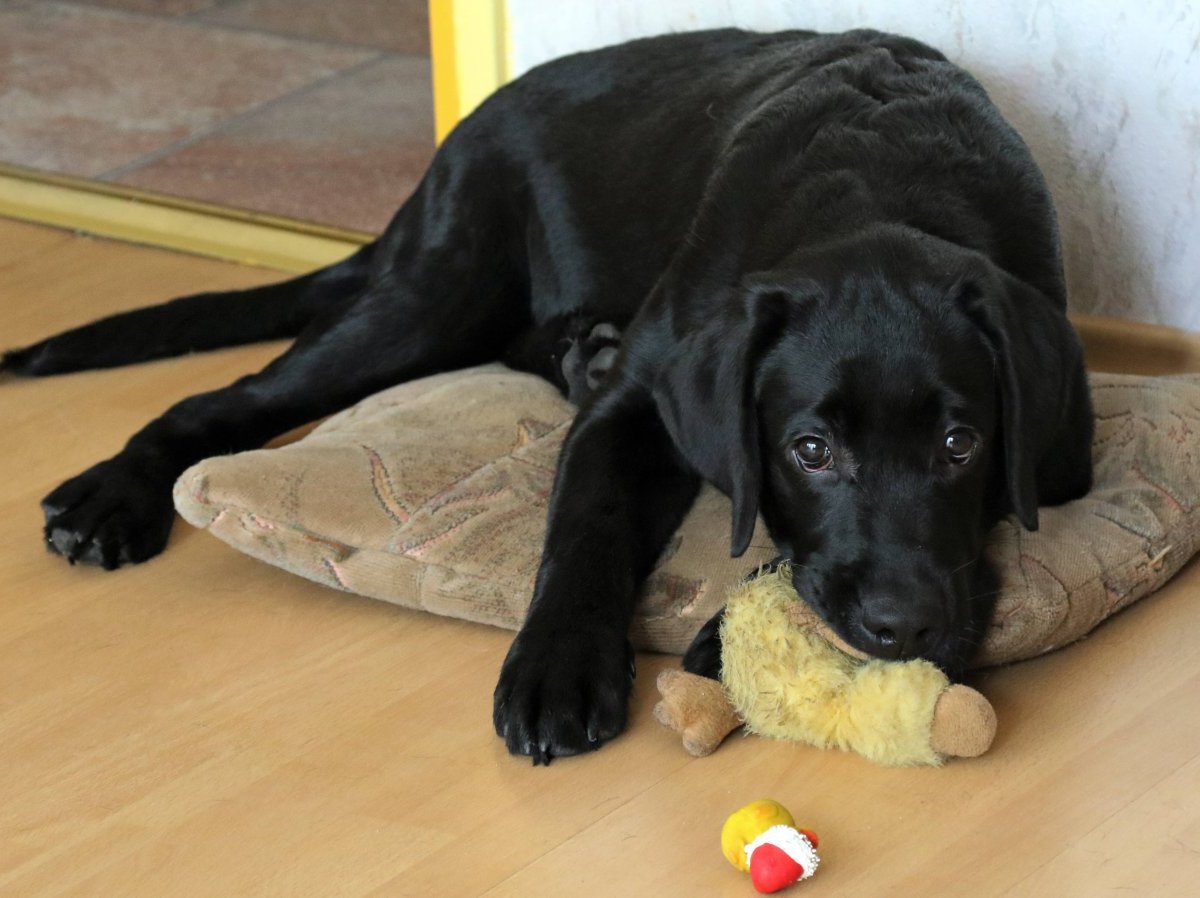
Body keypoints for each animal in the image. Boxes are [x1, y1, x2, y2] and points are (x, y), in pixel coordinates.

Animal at [0, 28, 1094, 763]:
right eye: (811, 451)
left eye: (961, 444)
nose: (902, 630)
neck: (878, 185)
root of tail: (449, 148)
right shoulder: (636, 408)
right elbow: (588, 523)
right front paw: (559, 665)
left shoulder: (1062, 449)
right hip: (427, 302)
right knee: (223, 401)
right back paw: (112, 497)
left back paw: (579, 347)